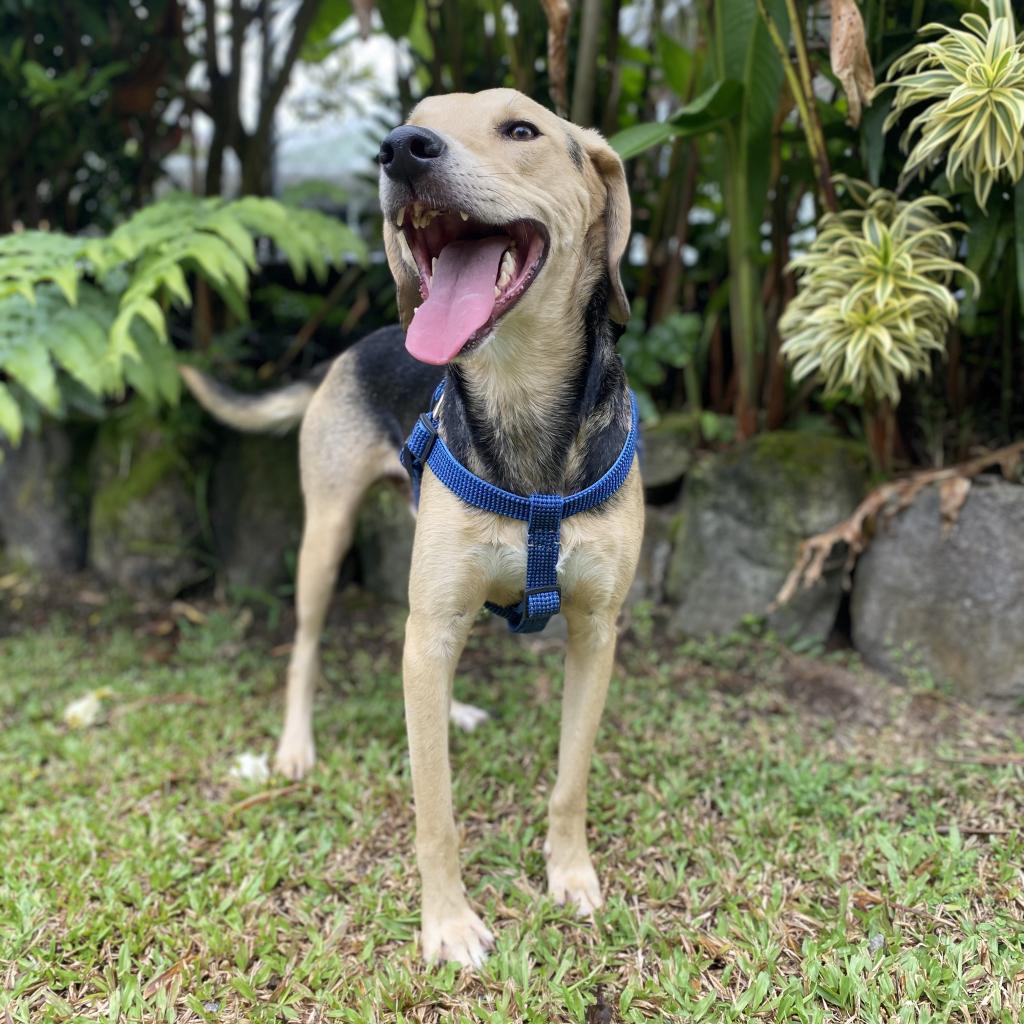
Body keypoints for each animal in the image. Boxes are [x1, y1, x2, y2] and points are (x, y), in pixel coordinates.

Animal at [179, 90, 634, 966]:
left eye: (521, 129)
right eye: (416, 116)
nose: (401, 149)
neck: (521, 409)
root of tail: (359, 342)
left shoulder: (597, 630)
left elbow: (571, 780)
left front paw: (570, 876)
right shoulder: (434, 625)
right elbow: (437, 812)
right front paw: (448, 924)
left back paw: (448, 710)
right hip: (324, 541)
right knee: (308, 646)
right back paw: (295, 748)